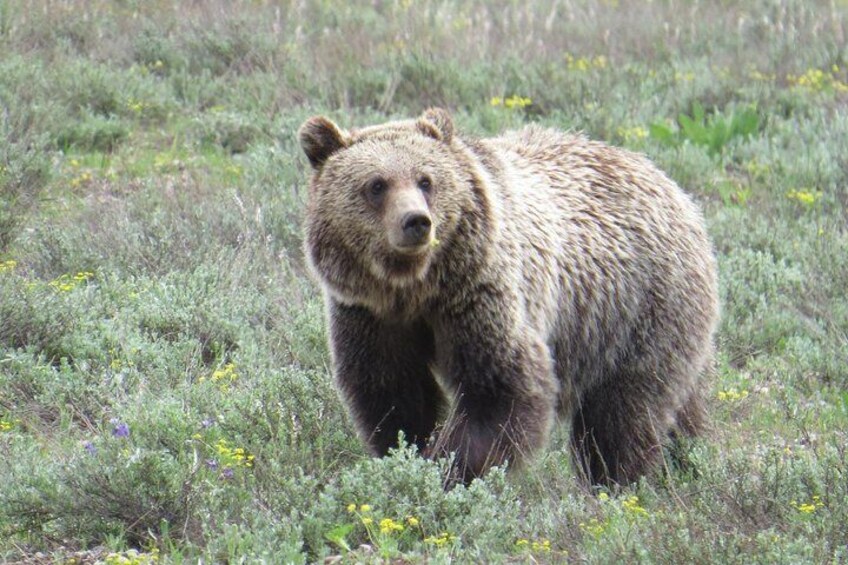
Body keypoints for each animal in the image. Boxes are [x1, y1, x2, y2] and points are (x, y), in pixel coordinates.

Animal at [298, 109, 716, 484]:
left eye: (425, 180)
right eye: (376, 184)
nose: (416, 222)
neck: (416, 287)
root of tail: (673, 187)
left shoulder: (479, 294)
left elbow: (499, 390)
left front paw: (452, 471)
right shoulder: (370, 313)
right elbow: (392, 391)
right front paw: (408, 453)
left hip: (635, 308)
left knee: (622, 411)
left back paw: (614, 480)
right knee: (679, 403)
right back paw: (689, 457)